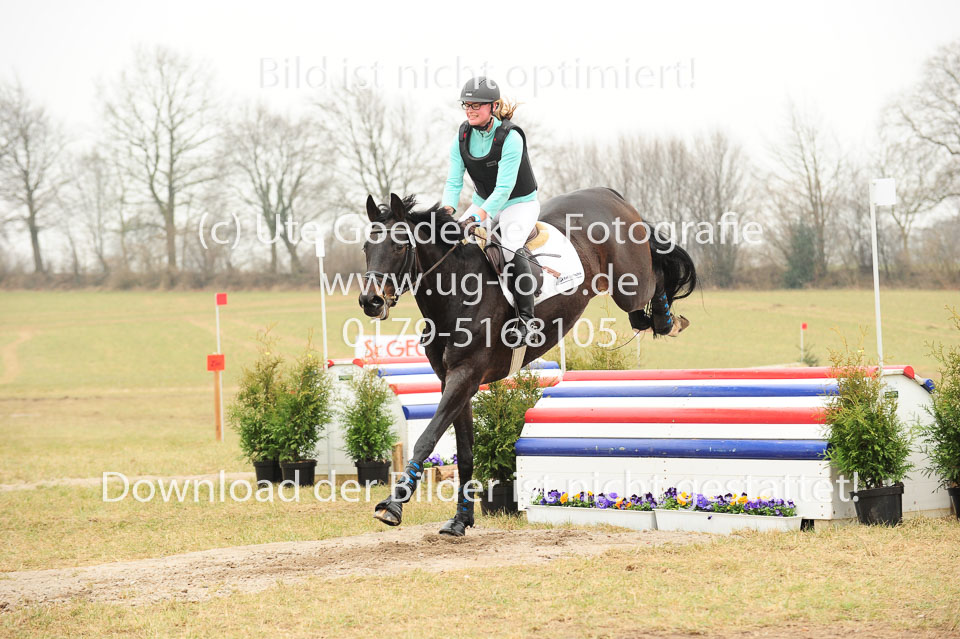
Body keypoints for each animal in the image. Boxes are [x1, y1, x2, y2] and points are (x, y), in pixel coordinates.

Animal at [358, 187, 697, 536]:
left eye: (399, 246)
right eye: (366, 247)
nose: (370, 301)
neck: (457, 292)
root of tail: (606, 193)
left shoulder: (465, 376)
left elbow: (426, 439)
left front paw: (393, 504)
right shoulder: (453, 381)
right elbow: (465, 452)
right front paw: (461, 520)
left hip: (630, 284)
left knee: (655, 279)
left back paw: (668, 321)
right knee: (641, 308)